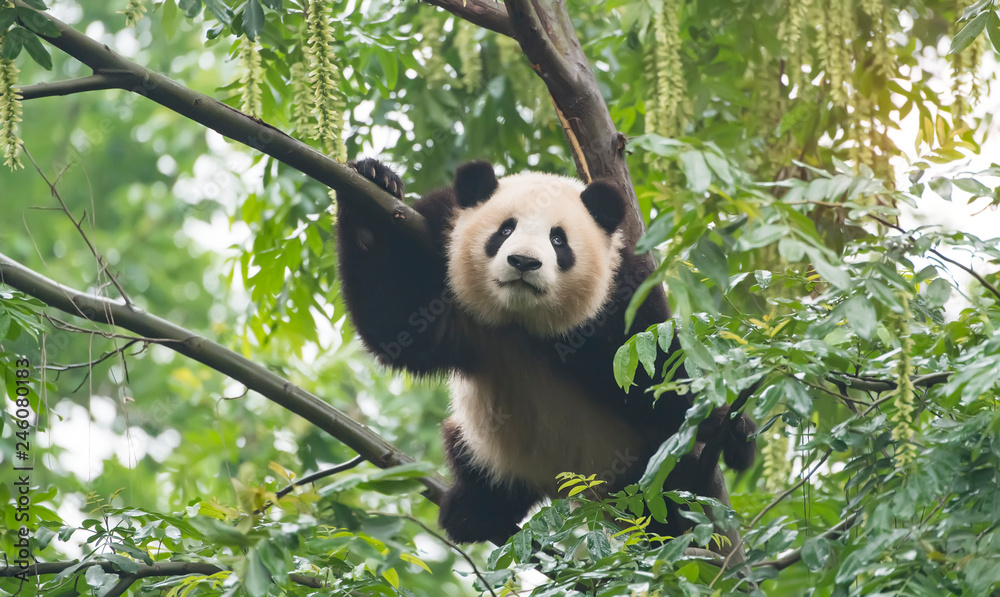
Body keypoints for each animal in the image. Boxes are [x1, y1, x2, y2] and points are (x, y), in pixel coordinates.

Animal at [336, 157, 755, 545]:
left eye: (558, 239)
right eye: (505, 229)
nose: (523, 262)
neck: (524, 322)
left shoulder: (625, 293)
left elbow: (654, 376)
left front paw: (728, 426)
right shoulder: (438, 242)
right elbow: (397, 322)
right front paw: (375, 178)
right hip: (490, 447)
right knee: (472, 455)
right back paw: (475, 513)